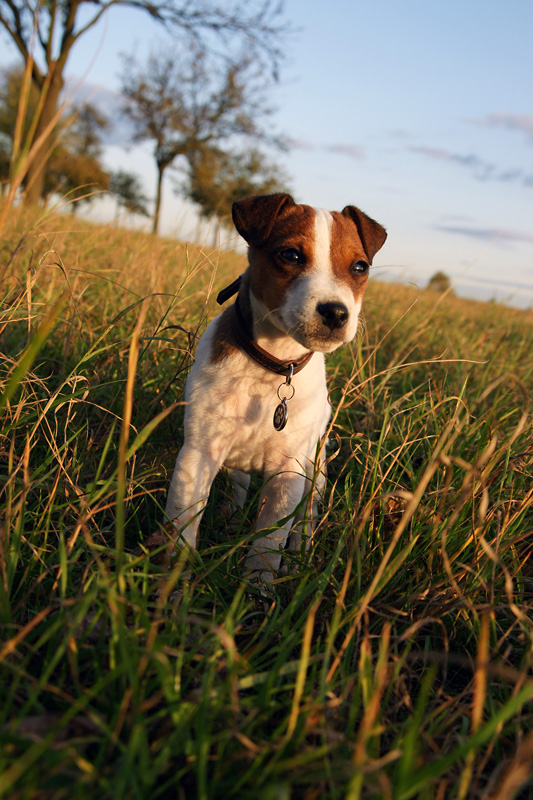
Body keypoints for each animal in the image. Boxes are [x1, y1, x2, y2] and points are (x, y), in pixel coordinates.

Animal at [164, 191, 384, 584]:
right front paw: (174, 586)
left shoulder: (288, 473)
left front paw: (256, 590)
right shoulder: (198, 454)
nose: (336, 312)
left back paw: (300, 557)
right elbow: (183, 527)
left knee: (306, 520)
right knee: (237, 488)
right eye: (291, 255)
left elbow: (268, 545)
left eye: (360, 267)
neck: (274, 366)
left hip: (315, 472)